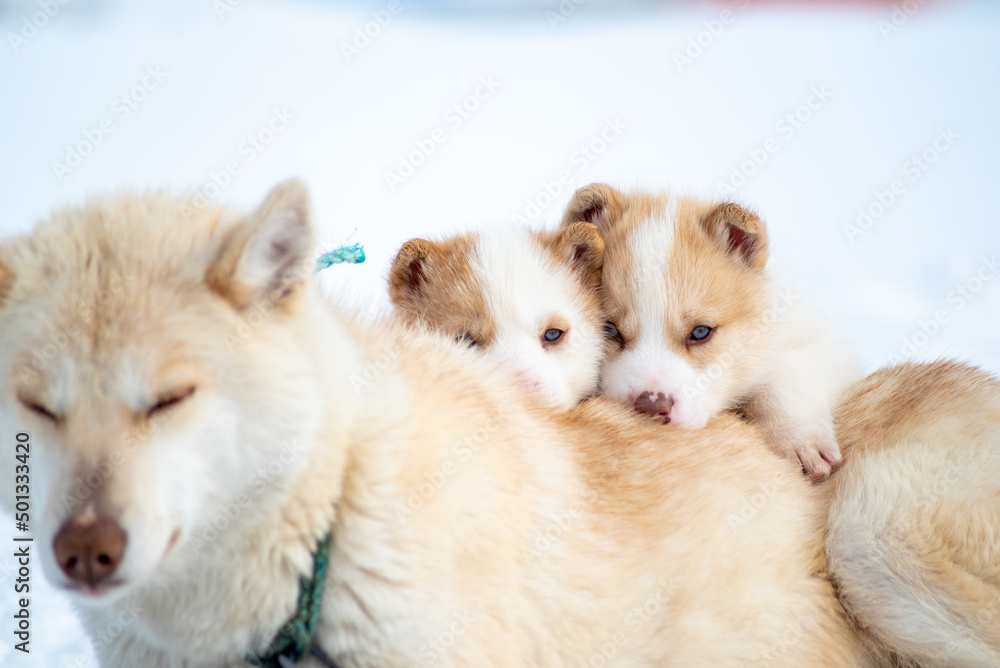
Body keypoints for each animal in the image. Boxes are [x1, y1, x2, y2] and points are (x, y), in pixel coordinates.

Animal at [568, 183, 864, 480]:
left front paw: (798, 440)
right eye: (609, 328)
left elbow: (782, 376)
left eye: (700, 332)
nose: (651, 405)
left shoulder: (820, 342)